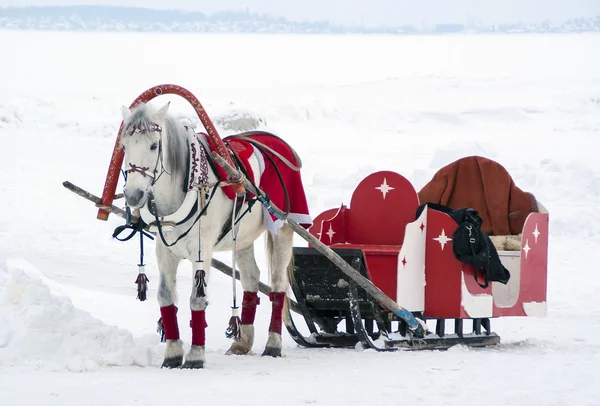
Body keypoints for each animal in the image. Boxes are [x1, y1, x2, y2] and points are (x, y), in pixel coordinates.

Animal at [119, 101, 300, 368]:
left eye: (153, 145)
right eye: (124, 146)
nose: (133, 196)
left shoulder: (201, 250)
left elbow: (197, 299)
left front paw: (195, 356)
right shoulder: (165, 251)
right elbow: (165, 297)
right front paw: (172, 354)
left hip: (283, 227)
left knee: (278, 285)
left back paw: (273, 344)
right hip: (243, 235)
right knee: (251, 278)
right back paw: (241, 342)